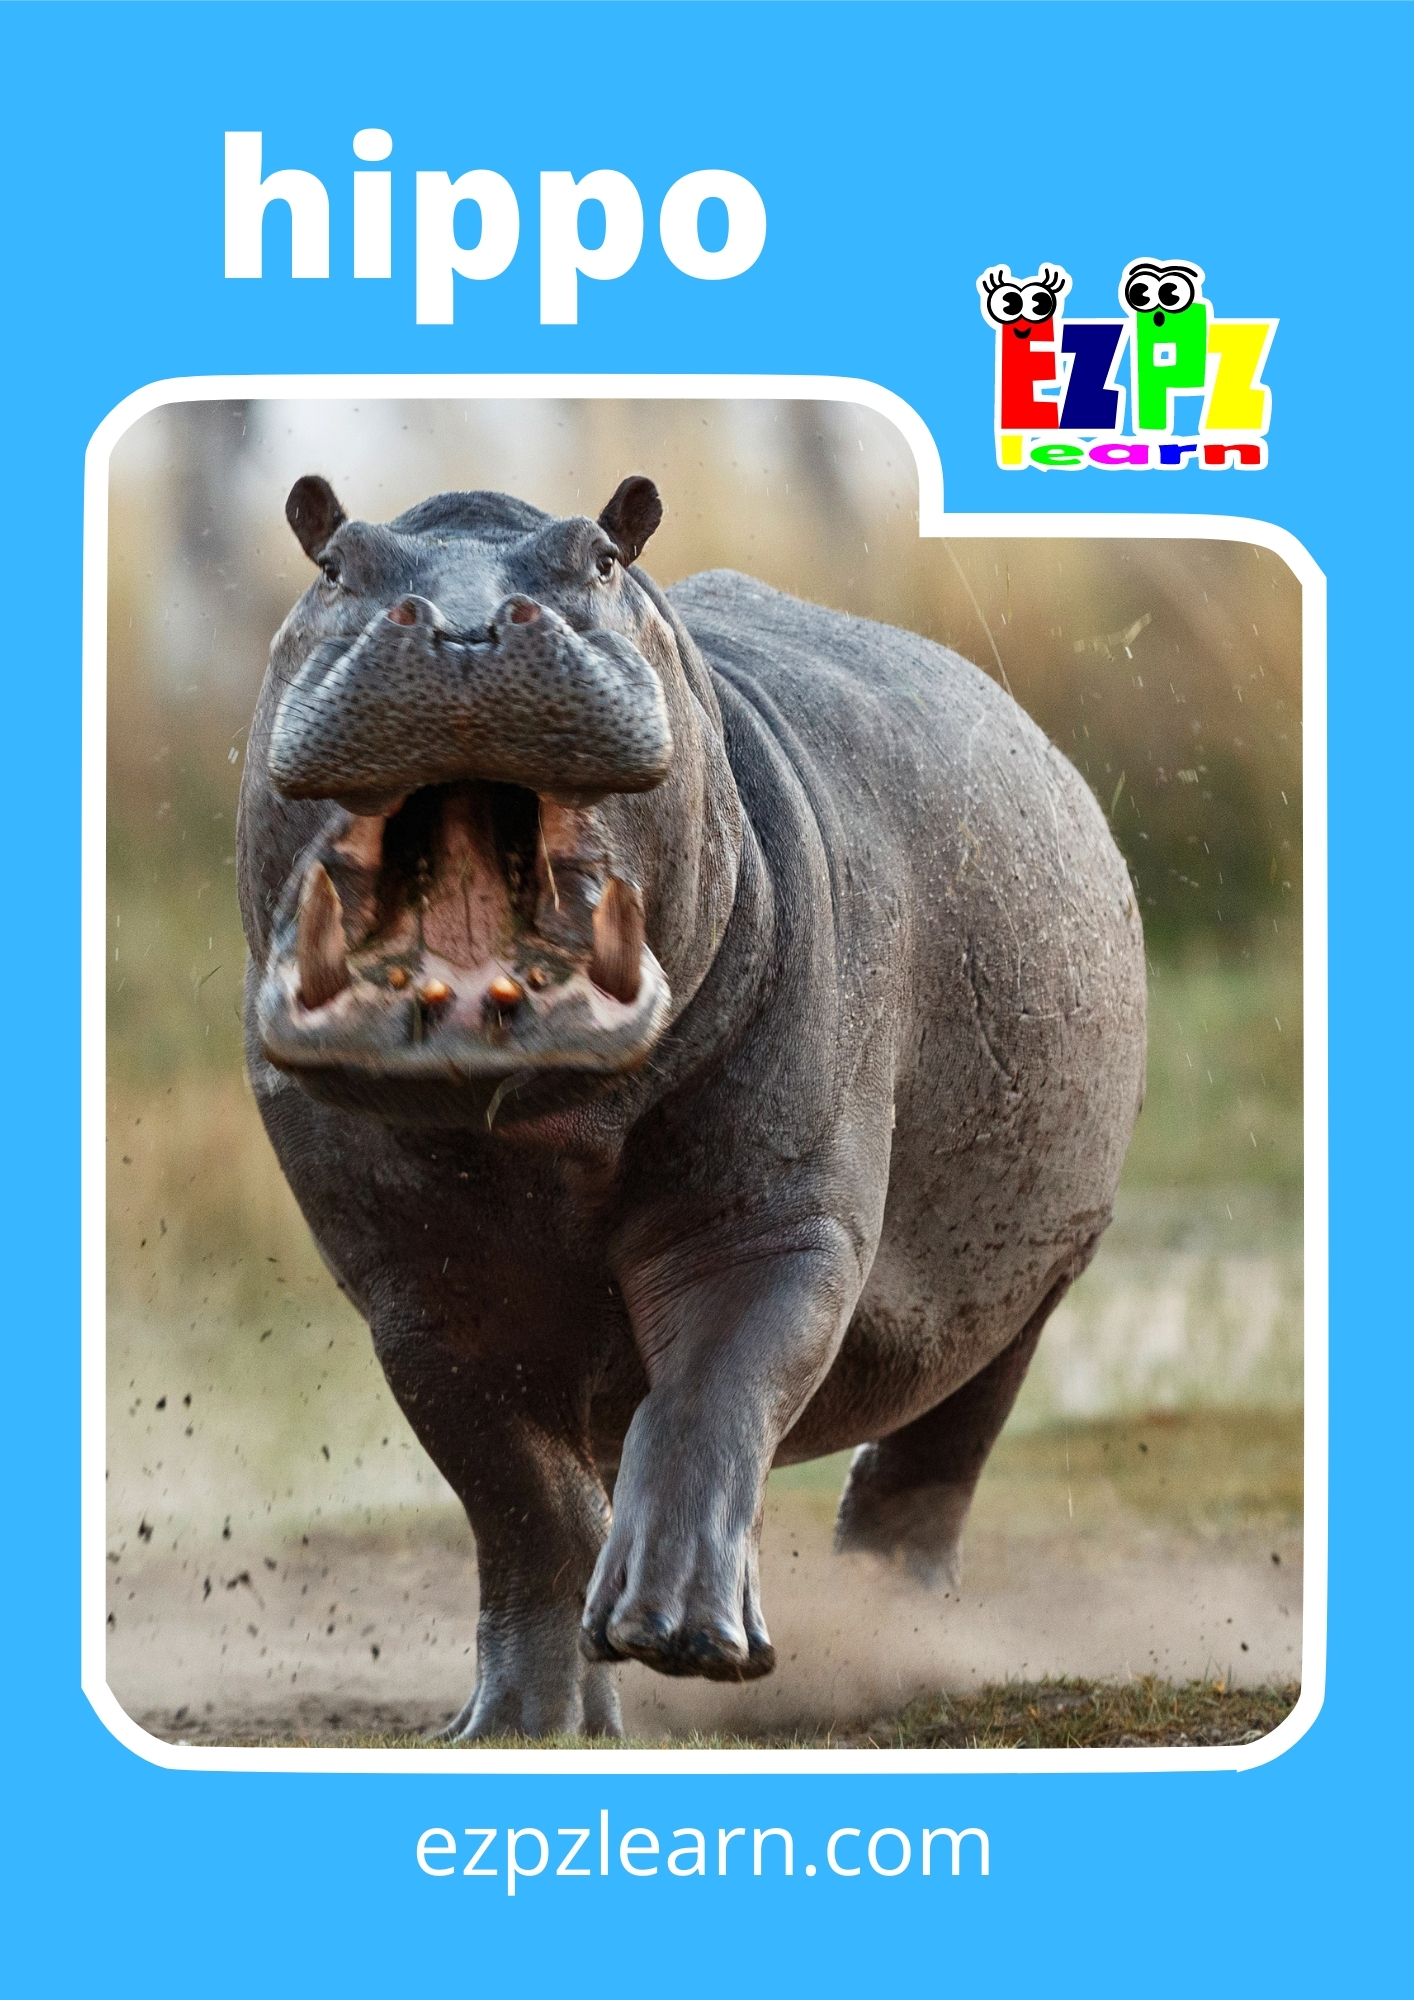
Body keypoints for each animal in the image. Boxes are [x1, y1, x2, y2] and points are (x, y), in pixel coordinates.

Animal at [236, 472, 1146, 1740]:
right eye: (333, 561)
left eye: (603, 558)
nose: (463, 624)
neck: (537, 1134)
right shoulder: (418, 1297)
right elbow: (518, 1499)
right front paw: (521, 1719)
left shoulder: (770, 1221)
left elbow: (711, 1392)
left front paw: (678, 1631)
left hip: (1034, 1281)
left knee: (935, 1455)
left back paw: (893, 1639)